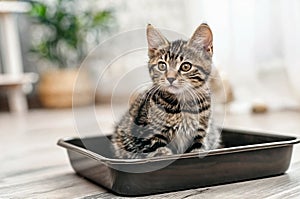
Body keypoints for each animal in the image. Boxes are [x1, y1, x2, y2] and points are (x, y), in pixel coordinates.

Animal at [112, 23, 220, 159]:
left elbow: (197, 151)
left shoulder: (200, 134)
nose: (170, 78)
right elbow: (160, 153)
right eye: (162, 66)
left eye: (186, 66)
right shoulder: (145, 134)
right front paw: (163, 154)